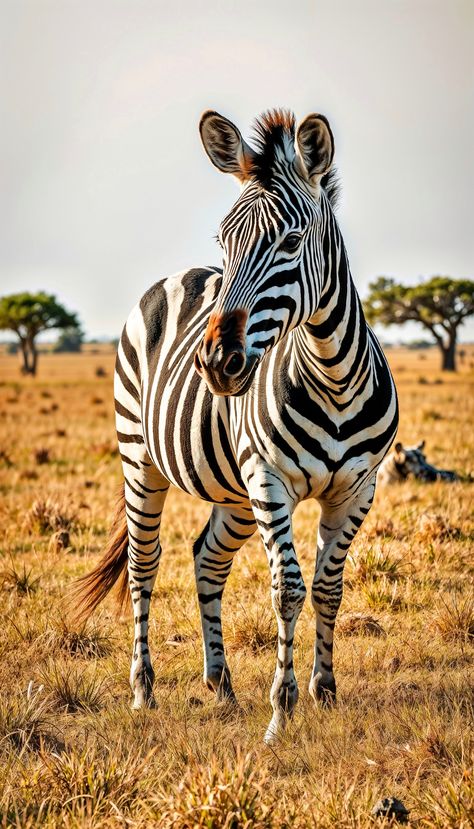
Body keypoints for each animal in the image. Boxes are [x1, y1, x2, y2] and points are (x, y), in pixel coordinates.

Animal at [74, 108, 399, 743]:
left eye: (292, 242)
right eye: (226, 241)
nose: (215, 363)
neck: (334, 377)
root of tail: (174, 274)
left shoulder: (358, 488)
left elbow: (328, 586)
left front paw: (324, 692)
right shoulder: (271, 480)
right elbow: (288, 588)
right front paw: (281, 710)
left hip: (235, 493)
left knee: (207, 558)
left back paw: (220, 684)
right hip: (140, 460)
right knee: (143, 566)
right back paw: (143, 691)